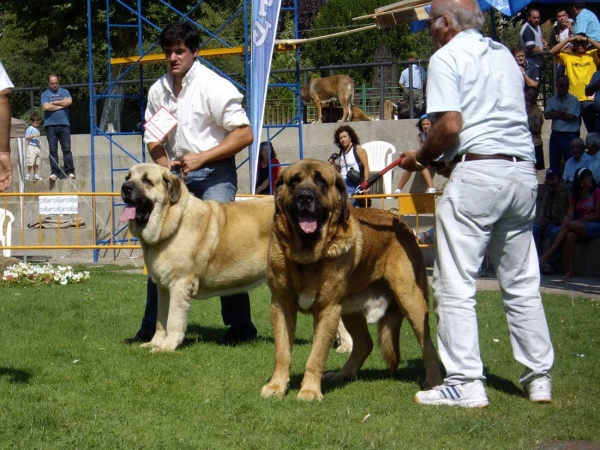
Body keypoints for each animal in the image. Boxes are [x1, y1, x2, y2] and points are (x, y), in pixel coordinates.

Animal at [120, 163, 276, 354]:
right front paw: (155, 343)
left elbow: (173, 320)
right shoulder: (163, 288)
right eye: (128, 177)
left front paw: (168, 347)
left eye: (146, 180)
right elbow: (161, 319)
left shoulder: (179, 285)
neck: (172, 221)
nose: (125, 187)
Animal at [260, 158, 442, 400]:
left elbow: (316, 354)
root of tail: (401, 223)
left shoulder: (328, 310)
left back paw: (433, 382)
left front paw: (309, 391)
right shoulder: (281, 305)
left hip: (410, 299)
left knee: (427, 344)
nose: (305, 197)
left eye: (321, 181)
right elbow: (282, 352)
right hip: (350, 309)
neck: (307, 254)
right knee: (365, 344)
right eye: (294, 181)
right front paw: (277, 386)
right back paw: (343, 374)